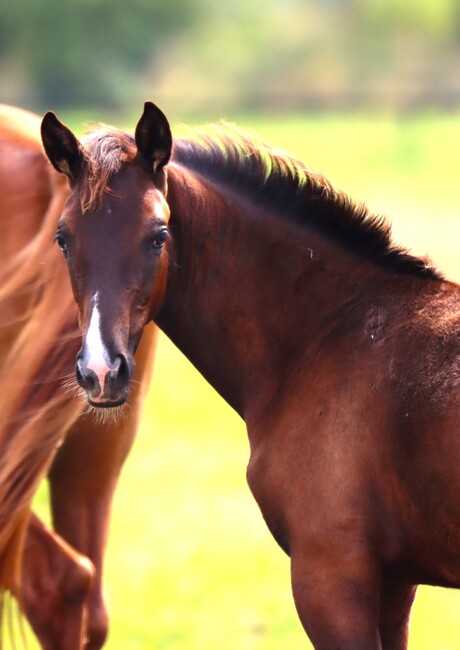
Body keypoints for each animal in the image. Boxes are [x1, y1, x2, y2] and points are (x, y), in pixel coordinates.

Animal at [41, 101, 458, 648]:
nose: (100, 371)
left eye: (158, 235)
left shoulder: (330, 577)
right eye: (63, 239)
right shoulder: (394, 585)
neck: (329, 334)